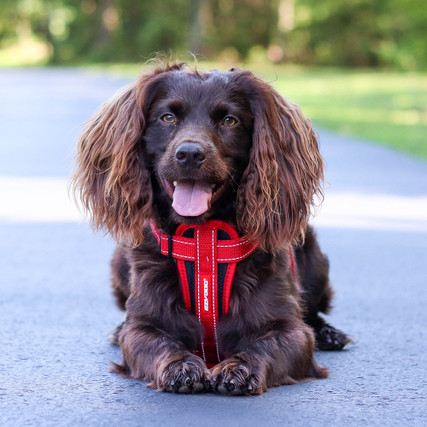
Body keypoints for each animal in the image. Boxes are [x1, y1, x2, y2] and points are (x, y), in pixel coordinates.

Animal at [72, 61, 350, 396]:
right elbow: (157, 341)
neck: (206, 239)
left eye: (229, 120)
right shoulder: (142, 328)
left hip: (316, 260)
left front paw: (240, 369)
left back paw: (330, 334)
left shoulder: (293, 332)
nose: (190, 154)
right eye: (167, 117)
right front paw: (181, 366)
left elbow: (267, 345)